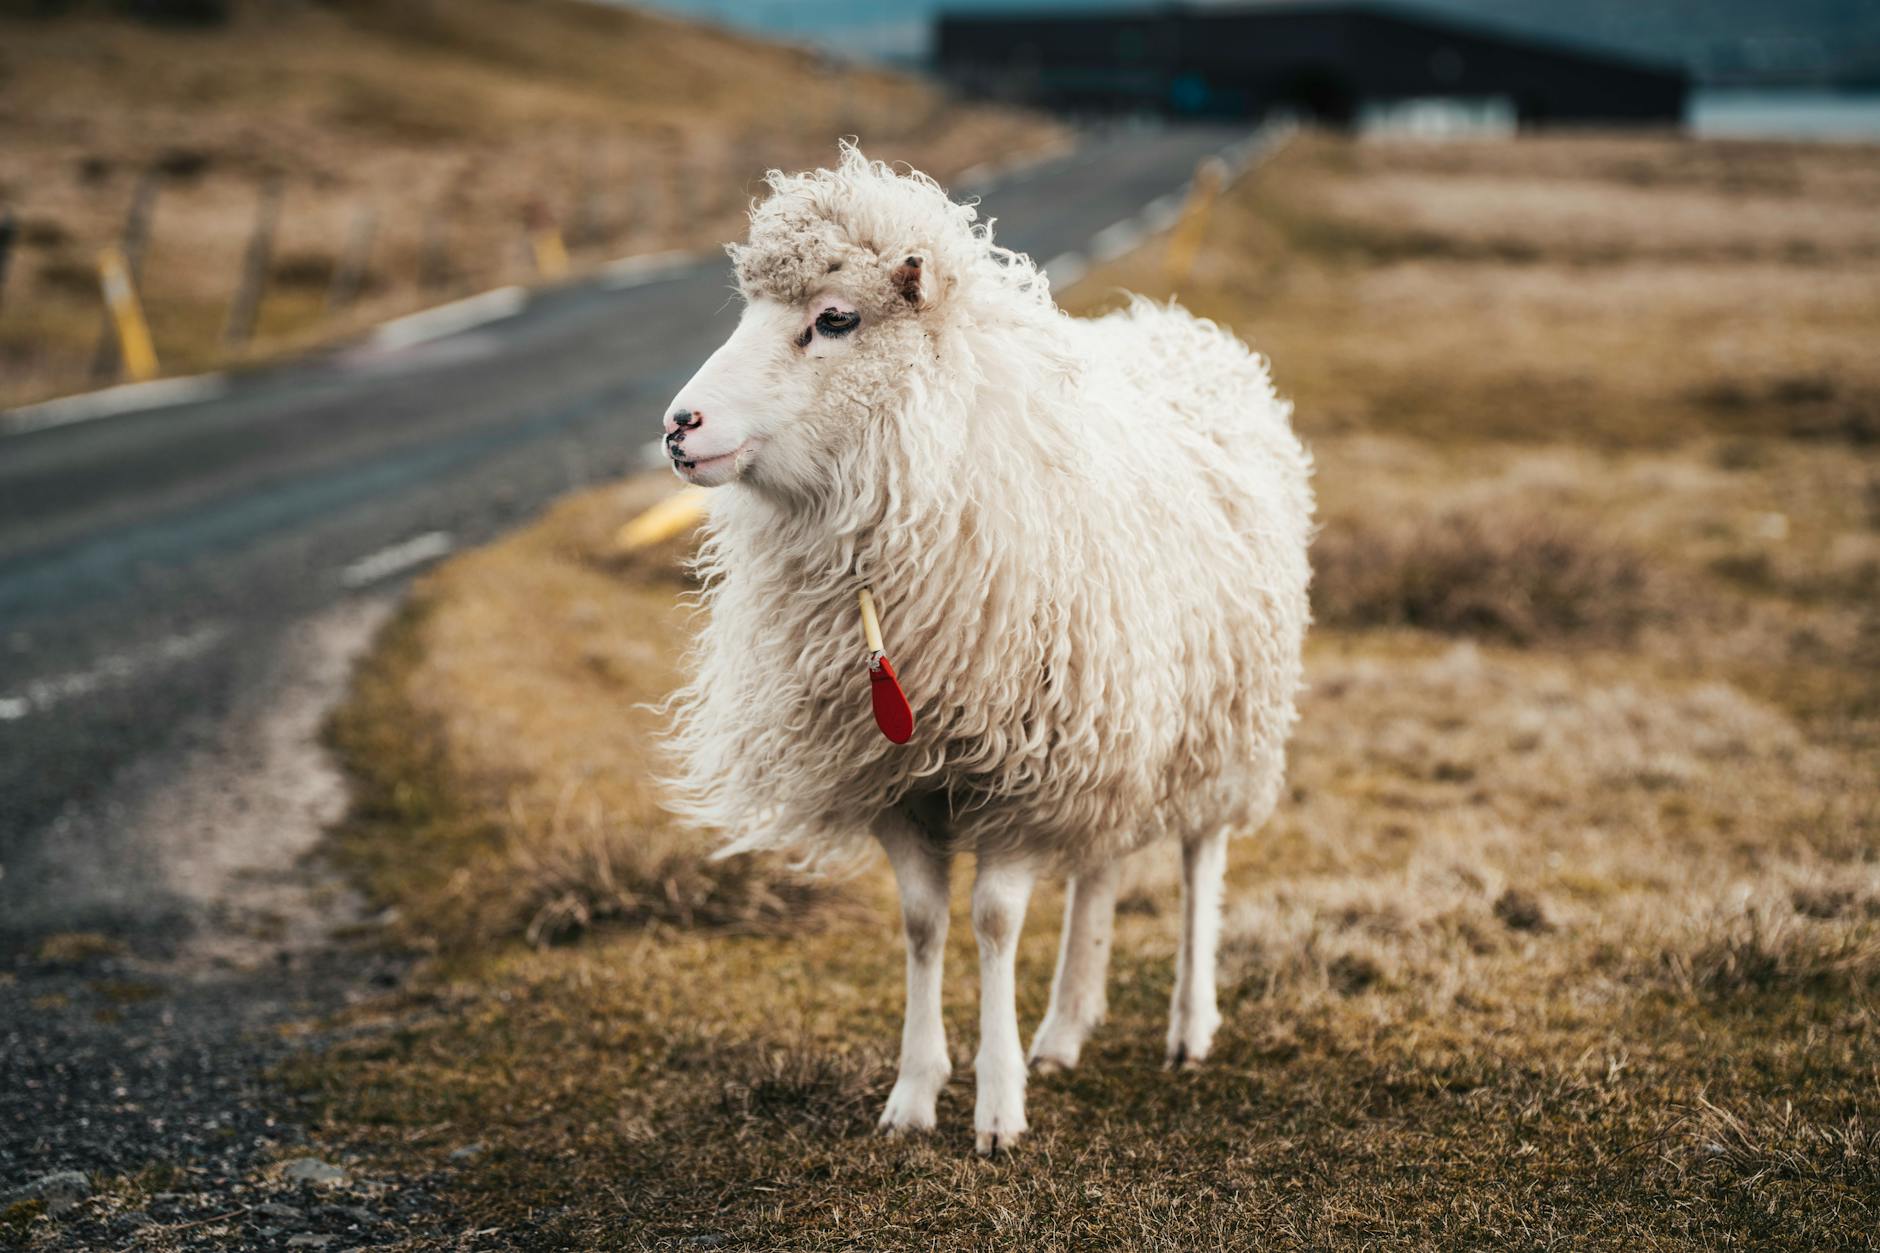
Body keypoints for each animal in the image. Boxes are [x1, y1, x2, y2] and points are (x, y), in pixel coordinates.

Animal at [659, 144, 1313, 1153]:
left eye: (834, 318)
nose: (678, 426)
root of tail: (1186, 330)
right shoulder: (895, 775)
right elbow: (924, 922)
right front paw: (914, 1093)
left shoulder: (1021, 770)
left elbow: (996, 922)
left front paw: (999, 1106)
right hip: (1119, 721)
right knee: (1099, 866)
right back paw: (1068, 1024)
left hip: (1223, 717)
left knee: (1200, 857)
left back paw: (1189, 1024)